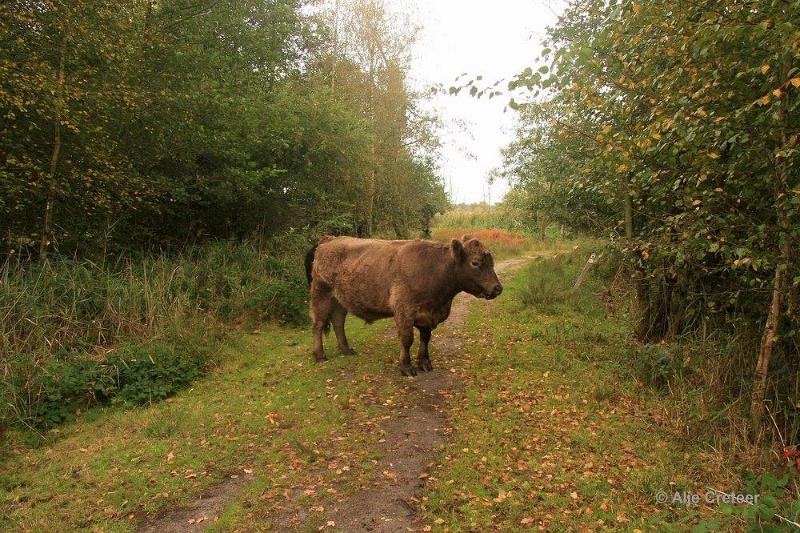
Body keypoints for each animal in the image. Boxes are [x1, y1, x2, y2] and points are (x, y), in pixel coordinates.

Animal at [304, 233, 504, 374]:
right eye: (475, 262)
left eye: (491, 262)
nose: (497, 288)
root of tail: (328, 240)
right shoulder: (404, 310)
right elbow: (407, 339)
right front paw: (406, 367)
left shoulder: (427, 316)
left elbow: (425, 338)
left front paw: (425, 363)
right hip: (321, 294)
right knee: (318, 324)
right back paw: (320, 355)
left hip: (339, 300)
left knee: (338, 322)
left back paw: (346, 350)